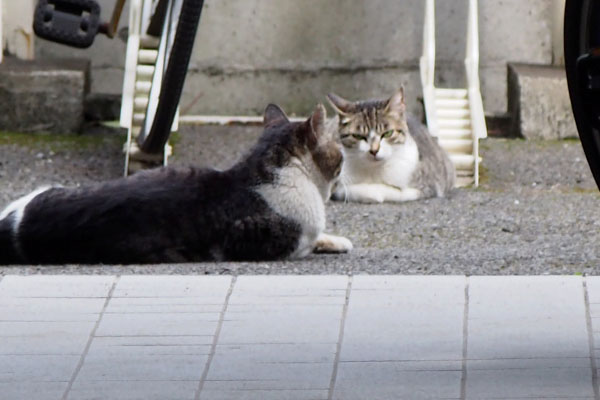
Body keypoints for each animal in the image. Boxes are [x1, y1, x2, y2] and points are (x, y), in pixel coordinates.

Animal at [0, 104, 352, 264]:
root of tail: (11, 224)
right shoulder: (268, 240)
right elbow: (309, 241)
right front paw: (330, 240)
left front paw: (336, 239)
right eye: (340, 153)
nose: (346, 166)